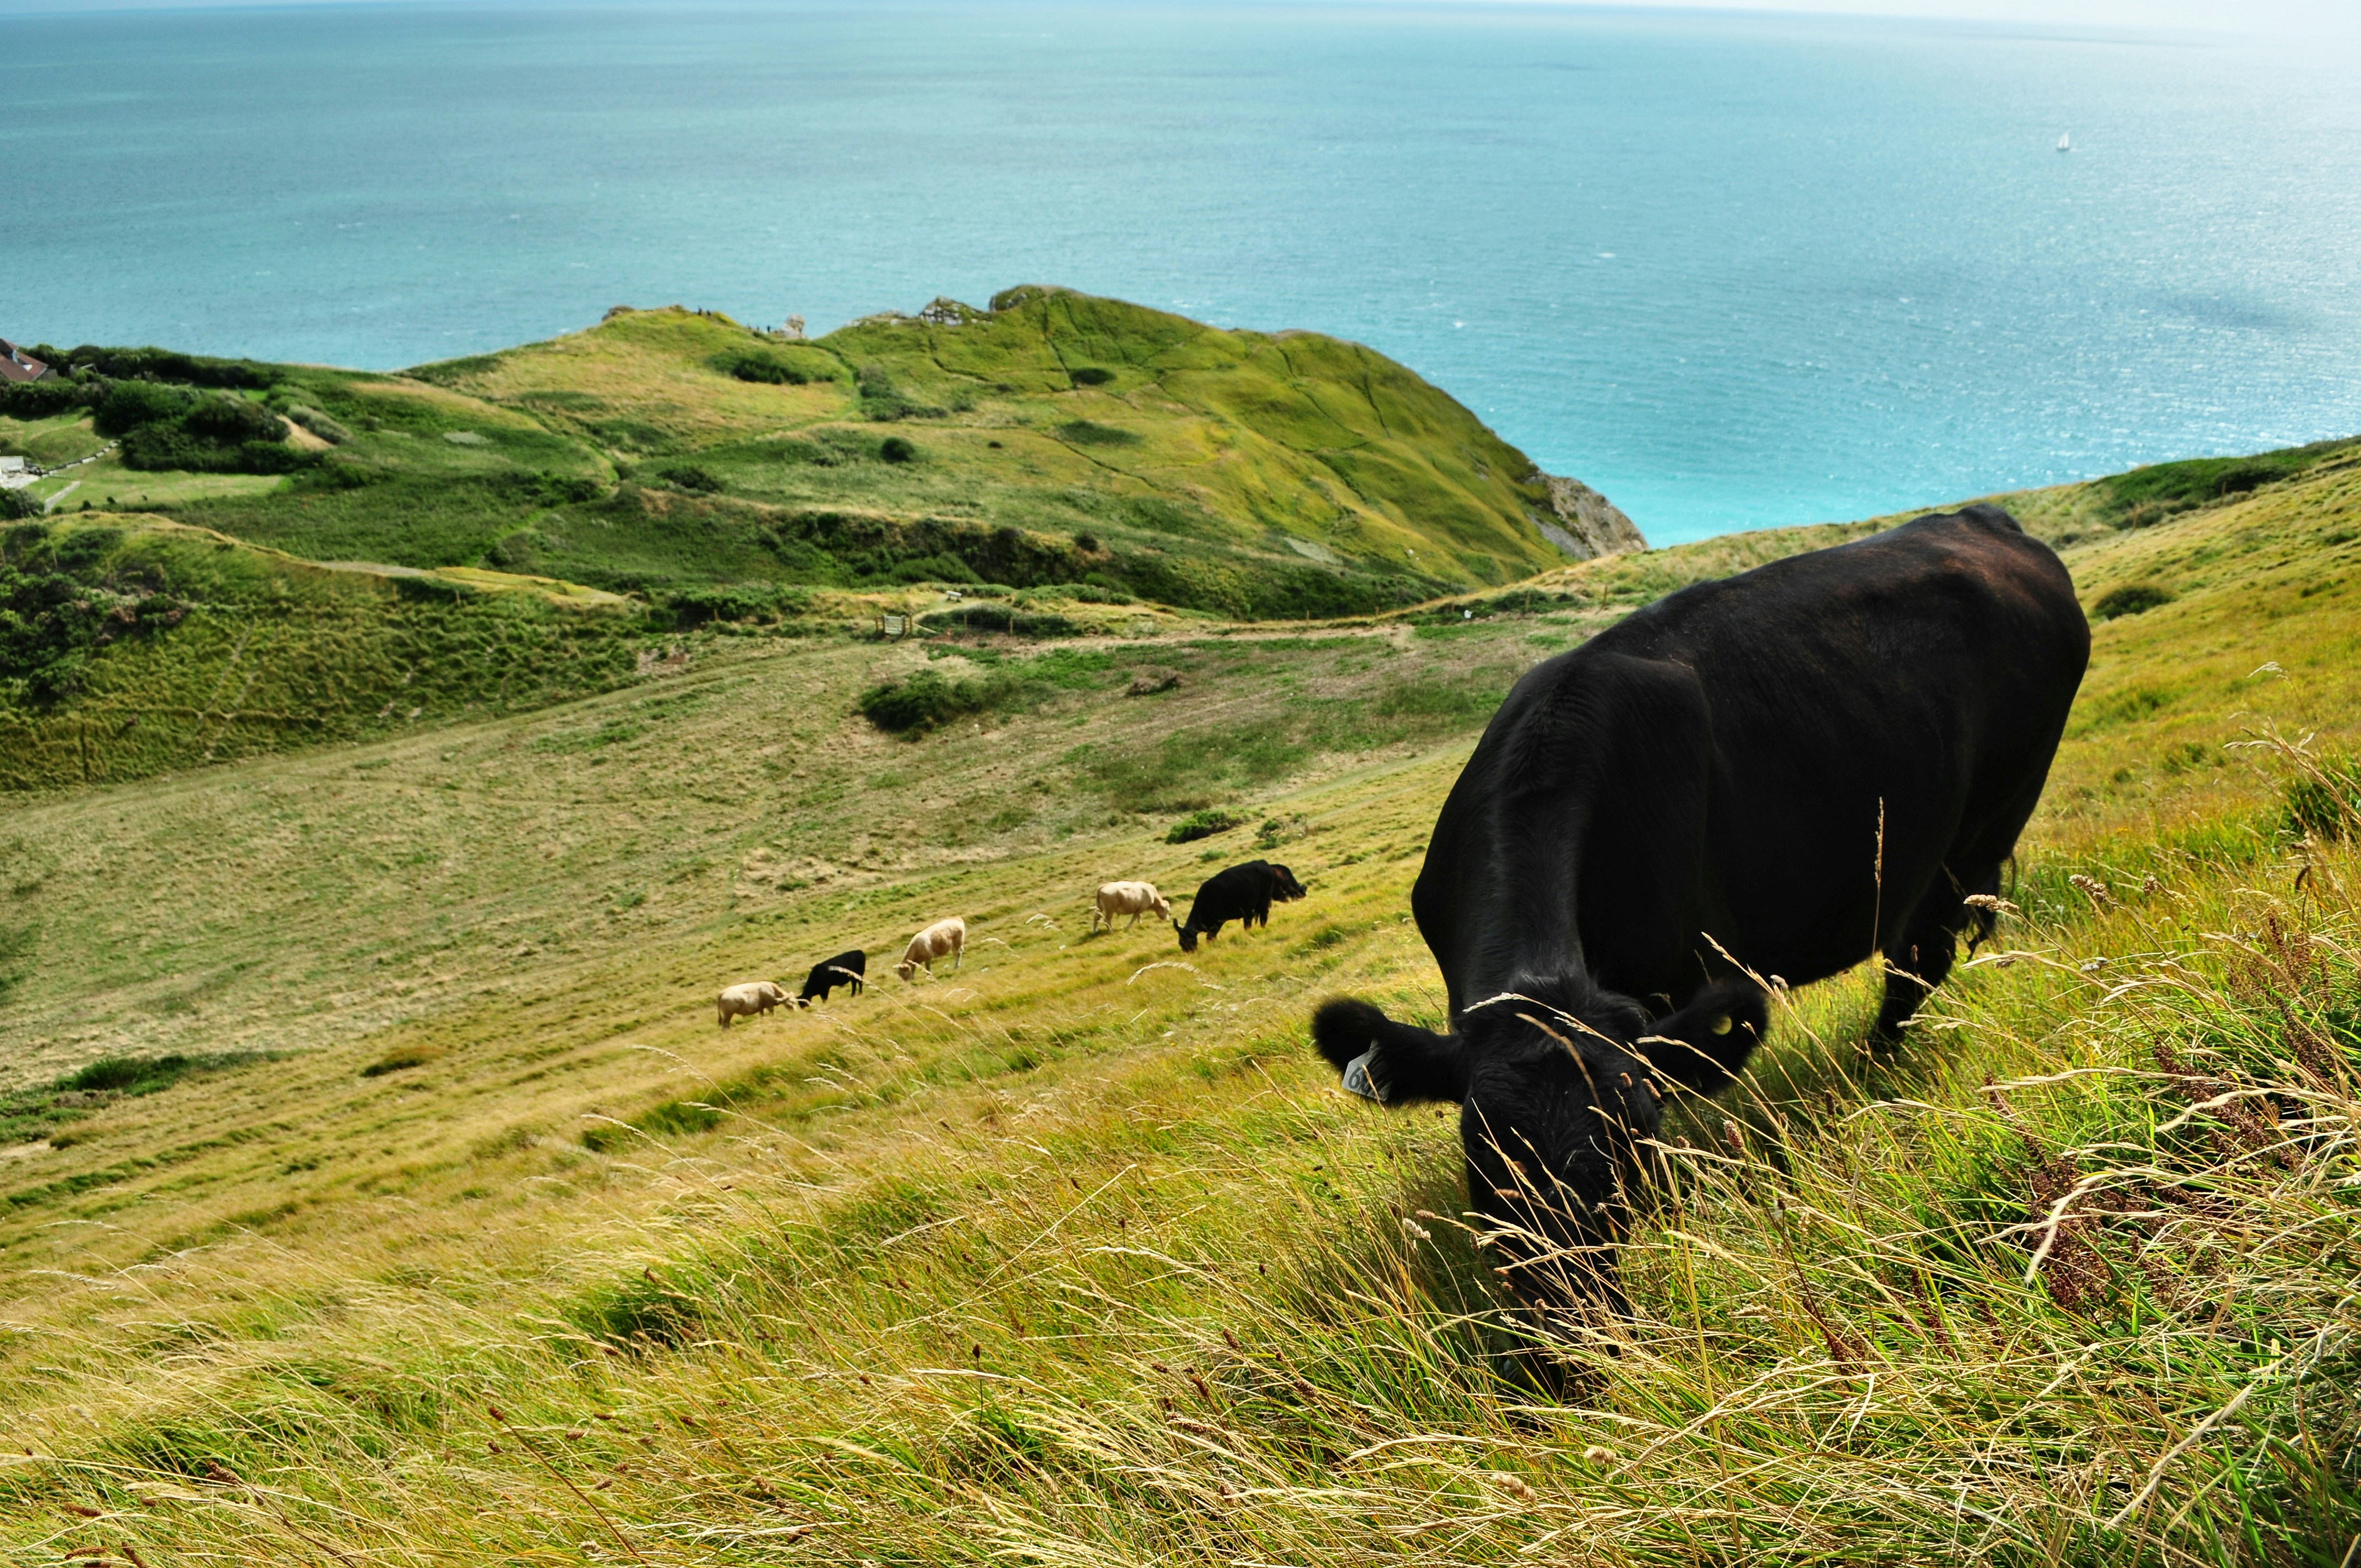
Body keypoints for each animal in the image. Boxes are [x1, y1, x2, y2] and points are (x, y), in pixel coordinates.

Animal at [717, 980, 789, 1026]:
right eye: (790, 1001)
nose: (791, 1012)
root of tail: (722, 993)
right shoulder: (770, 1005)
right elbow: (773, 1013)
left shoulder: (761, 1008)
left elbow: (762, 1016)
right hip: (728, 1013)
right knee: (725, 1023)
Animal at [895, 917, 966, 982]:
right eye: (899, 974)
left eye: (904, 973)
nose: (904, 983)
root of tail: (957, 918)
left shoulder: (928, 958)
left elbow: (928, 968)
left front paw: (929, 976)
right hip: (956, 946)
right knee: (957, 954)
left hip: (957, 944)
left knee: (958, 954)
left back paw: (956, 966)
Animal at [1094, 880, 1172, 933]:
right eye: (1167, 911)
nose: (1168, 920)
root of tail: (1103, 886)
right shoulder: (1142, 908)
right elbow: (1134, 918)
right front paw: (1128, 927)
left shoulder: (1139, 908)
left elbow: (1139, 916)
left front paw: (1140, 923)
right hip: (1109, 909)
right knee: (1107, 920)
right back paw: (1111, 930)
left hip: (1100, 907)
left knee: (1096, 918)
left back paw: (1095, 931)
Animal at [1309, 506, 2088, 1337]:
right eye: (1483, 1156)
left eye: (1635, 1148)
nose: (1574, 1332)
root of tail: (1982, 519)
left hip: (1983, 827)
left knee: (1916, 961)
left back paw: (1872, 1070)